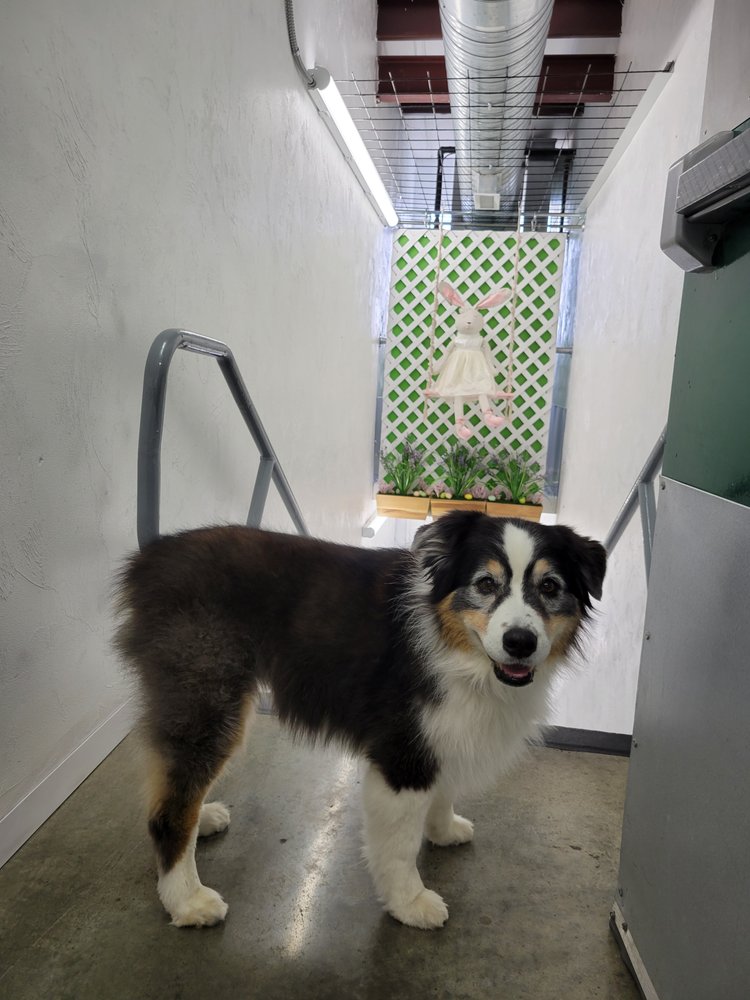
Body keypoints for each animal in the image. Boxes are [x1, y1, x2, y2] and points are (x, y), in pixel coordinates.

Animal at [114, 510, 606, 930]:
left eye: (550, 586)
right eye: (485, 583)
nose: (520, 642)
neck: (455, 648)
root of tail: (148, 561)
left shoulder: (441, 732)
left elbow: (443, 788)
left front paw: (443, 829)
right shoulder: (401, 750)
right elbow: (400, 844)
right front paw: (410, 902)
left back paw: (205, 817)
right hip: (208, 699)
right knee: (168, 811)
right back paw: (187, 899)